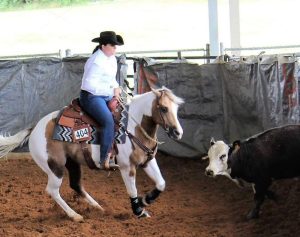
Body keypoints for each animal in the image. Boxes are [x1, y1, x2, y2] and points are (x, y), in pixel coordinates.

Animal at [0, 87, 184, 222]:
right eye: (164, 108)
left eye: (176, 108)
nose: (178, 133)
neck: (133, 127)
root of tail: (34, 129)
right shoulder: (127, 167)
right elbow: (132, 190)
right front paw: (138, 209)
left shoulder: (147, 161)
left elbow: (161, 183)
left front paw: (146, 200)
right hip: (54, 167)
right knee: (52, 190)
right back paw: (75, 215)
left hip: (72, 163)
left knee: (76, 185)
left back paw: (98, 207)